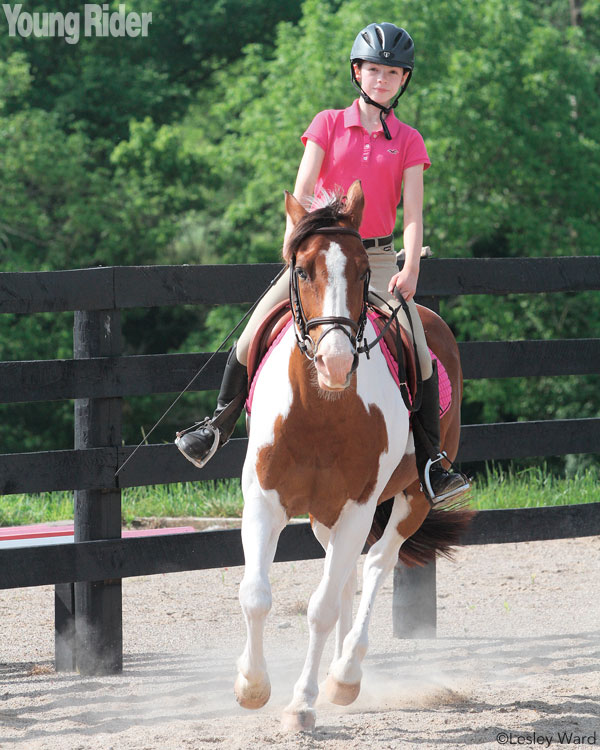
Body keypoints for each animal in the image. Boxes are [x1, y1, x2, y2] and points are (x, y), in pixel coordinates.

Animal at [234, 182, 474, 736]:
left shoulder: (360, 506)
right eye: (303, 270)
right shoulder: (264, 501)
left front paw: (302, 704)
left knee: (377, 564)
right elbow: (256, 593)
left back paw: (344, 675)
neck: (321, 409)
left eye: (365, 272)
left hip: (409, 499)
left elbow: (321, 607)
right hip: (326, 514)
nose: (336, 362)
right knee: (342, 573)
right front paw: (251, 686)